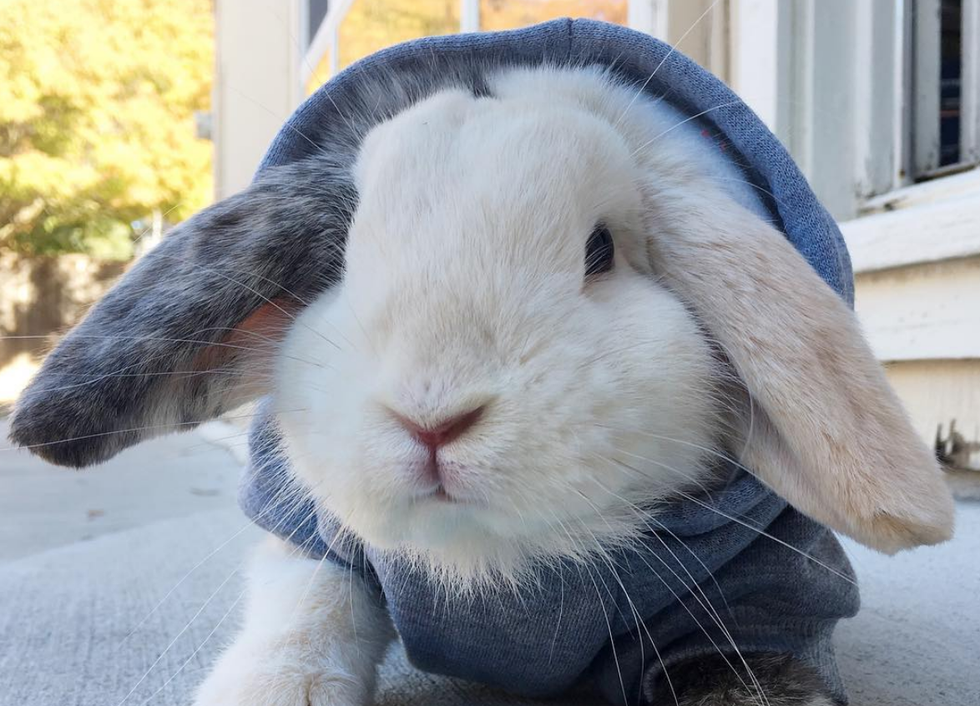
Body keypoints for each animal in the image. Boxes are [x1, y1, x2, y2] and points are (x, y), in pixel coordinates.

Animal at [9, 62, 954, 706]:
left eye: (601, 250)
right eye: (342, 255)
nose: (431, 419)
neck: (493, 571)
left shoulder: (763, 594)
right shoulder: (312, 544)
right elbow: (304, 616)